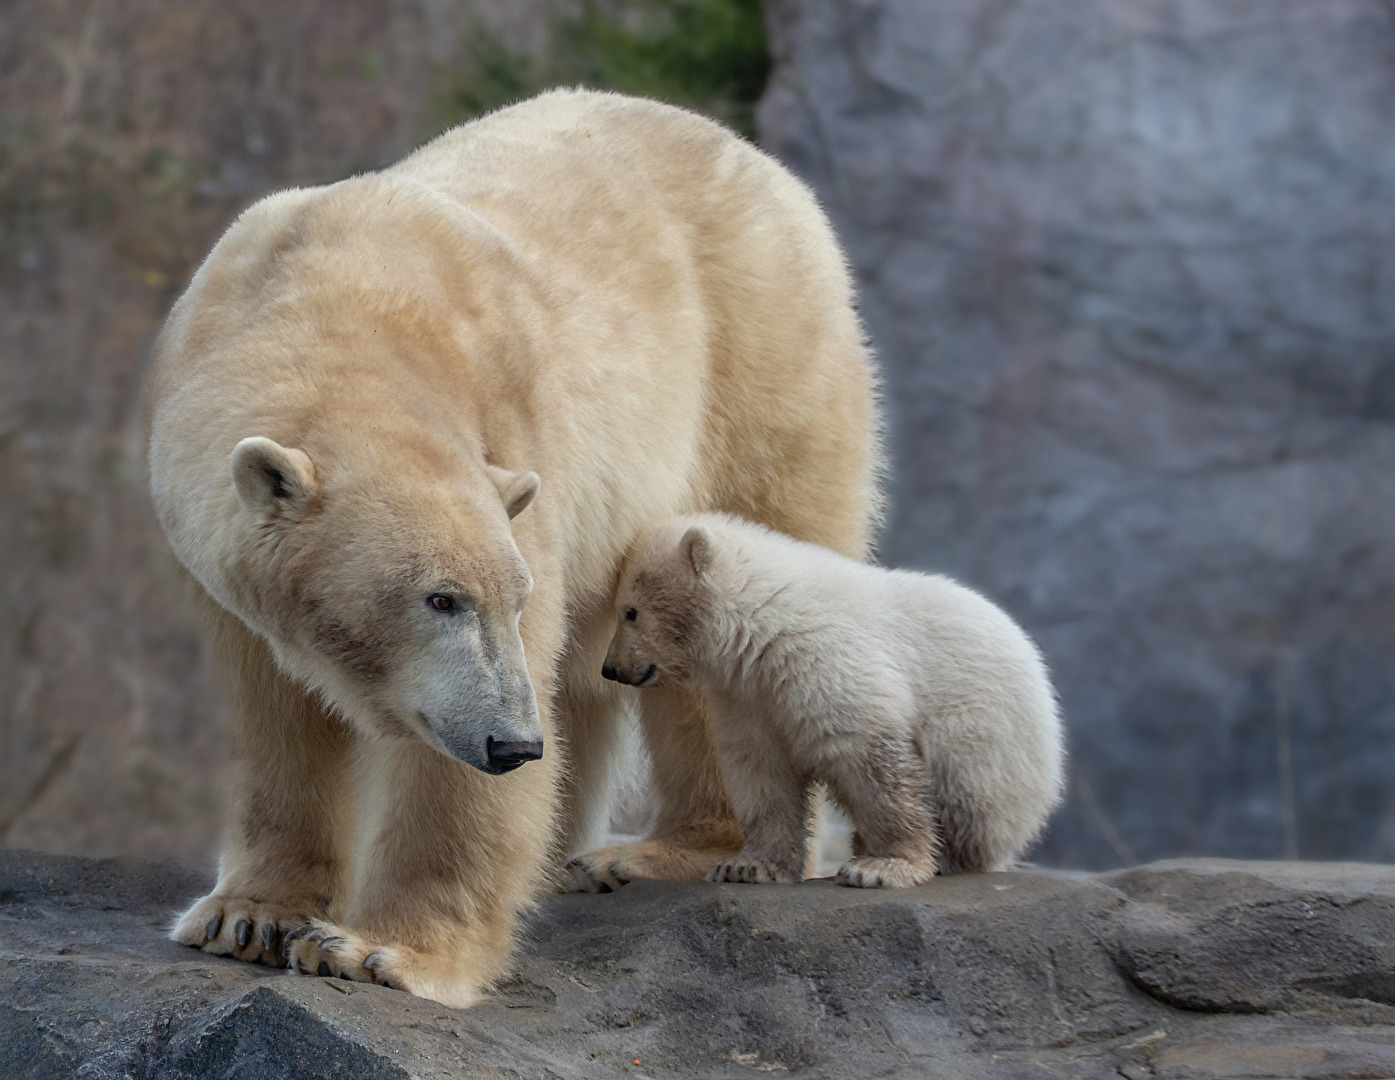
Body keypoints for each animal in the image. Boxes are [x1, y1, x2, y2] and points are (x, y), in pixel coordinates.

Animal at [144, 88, 881, 1010]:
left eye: (509, 596)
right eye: (438, 598)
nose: (514, 743)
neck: (336, 306)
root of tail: (762, 164)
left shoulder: (516, 439)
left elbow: (462, 761)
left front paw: (381, 951)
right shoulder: (224, 562)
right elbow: (272, 715)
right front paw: (247, 917)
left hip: (758, 365)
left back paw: (665, 852)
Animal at [599, 516, 1054, 887]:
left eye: (630, 612)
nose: (610, 669)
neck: (764, 618)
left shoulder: (827, 660)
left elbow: (871, 762)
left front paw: (884, 866)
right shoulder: (748, 696)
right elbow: (760, 772)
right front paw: (747, 866)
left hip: (986, 733)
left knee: (968, 797)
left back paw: (947, 855)